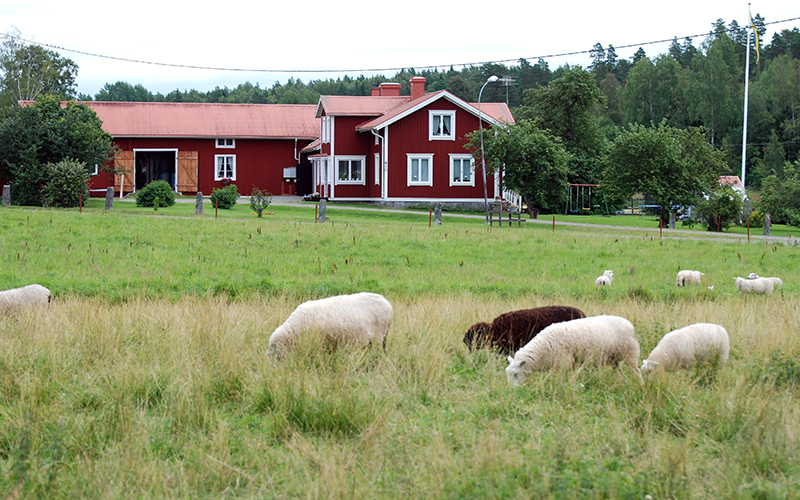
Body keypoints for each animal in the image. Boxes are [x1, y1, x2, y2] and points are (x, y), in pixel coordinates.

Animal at [506, 316, 644, 386]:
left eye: (516, 374)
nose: (512, 390)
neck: (543, 349)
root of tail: (629, 324)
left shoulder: (564, 363)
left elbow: (561, 378)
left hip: (630, 352)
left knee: (636, 370)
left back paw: (641, 384)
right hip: (613, 358)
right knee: (618, 371)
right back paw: (618, 382)